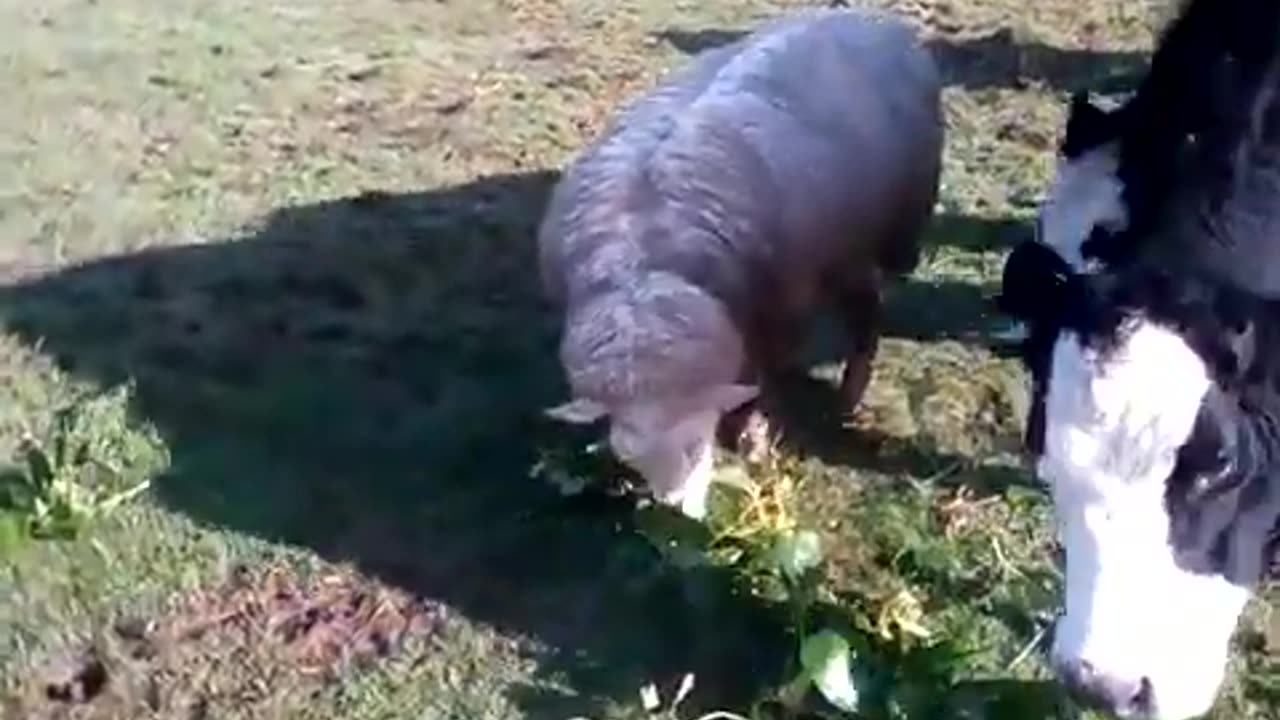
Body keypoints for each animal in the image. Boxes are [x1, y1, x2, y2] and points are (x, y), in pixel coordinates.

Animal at [535, 7, 947, 515]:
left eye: (697, 440)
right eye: (628, 454)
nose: (676, 510)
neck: (644, 267)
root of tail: (868, 14)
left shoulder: (777, 318)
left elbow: (756, 387)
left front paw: (754, 439)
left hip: (900, 220)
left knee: (875, 301)